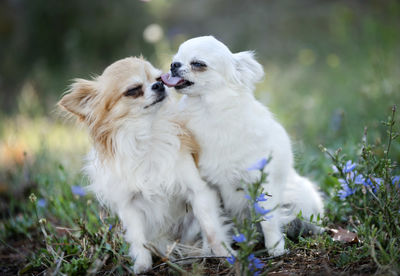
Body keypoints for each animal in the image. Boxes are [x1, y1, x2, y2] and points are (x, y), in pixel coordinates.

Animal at [57, 56, 230, 274]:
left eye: (159, 79)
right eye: (133, 90)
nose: (159, 85)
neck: (147, 135)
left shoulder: (198, 191)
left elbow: (211, 227)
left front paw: (225, 254)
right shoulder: (129, 206)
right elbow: (138, 238)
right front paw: (142, 264)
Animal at [161, 36, 324, 256]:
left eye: (198, 64)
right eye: (175, 59)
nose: (173, 65)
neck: (208, 113)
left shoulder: (263, 181)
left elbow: (269, 220)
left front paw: (275, 249)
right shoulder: (208, 186)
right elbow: (210, 222)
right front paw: (212, 250)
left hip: (302, 198)